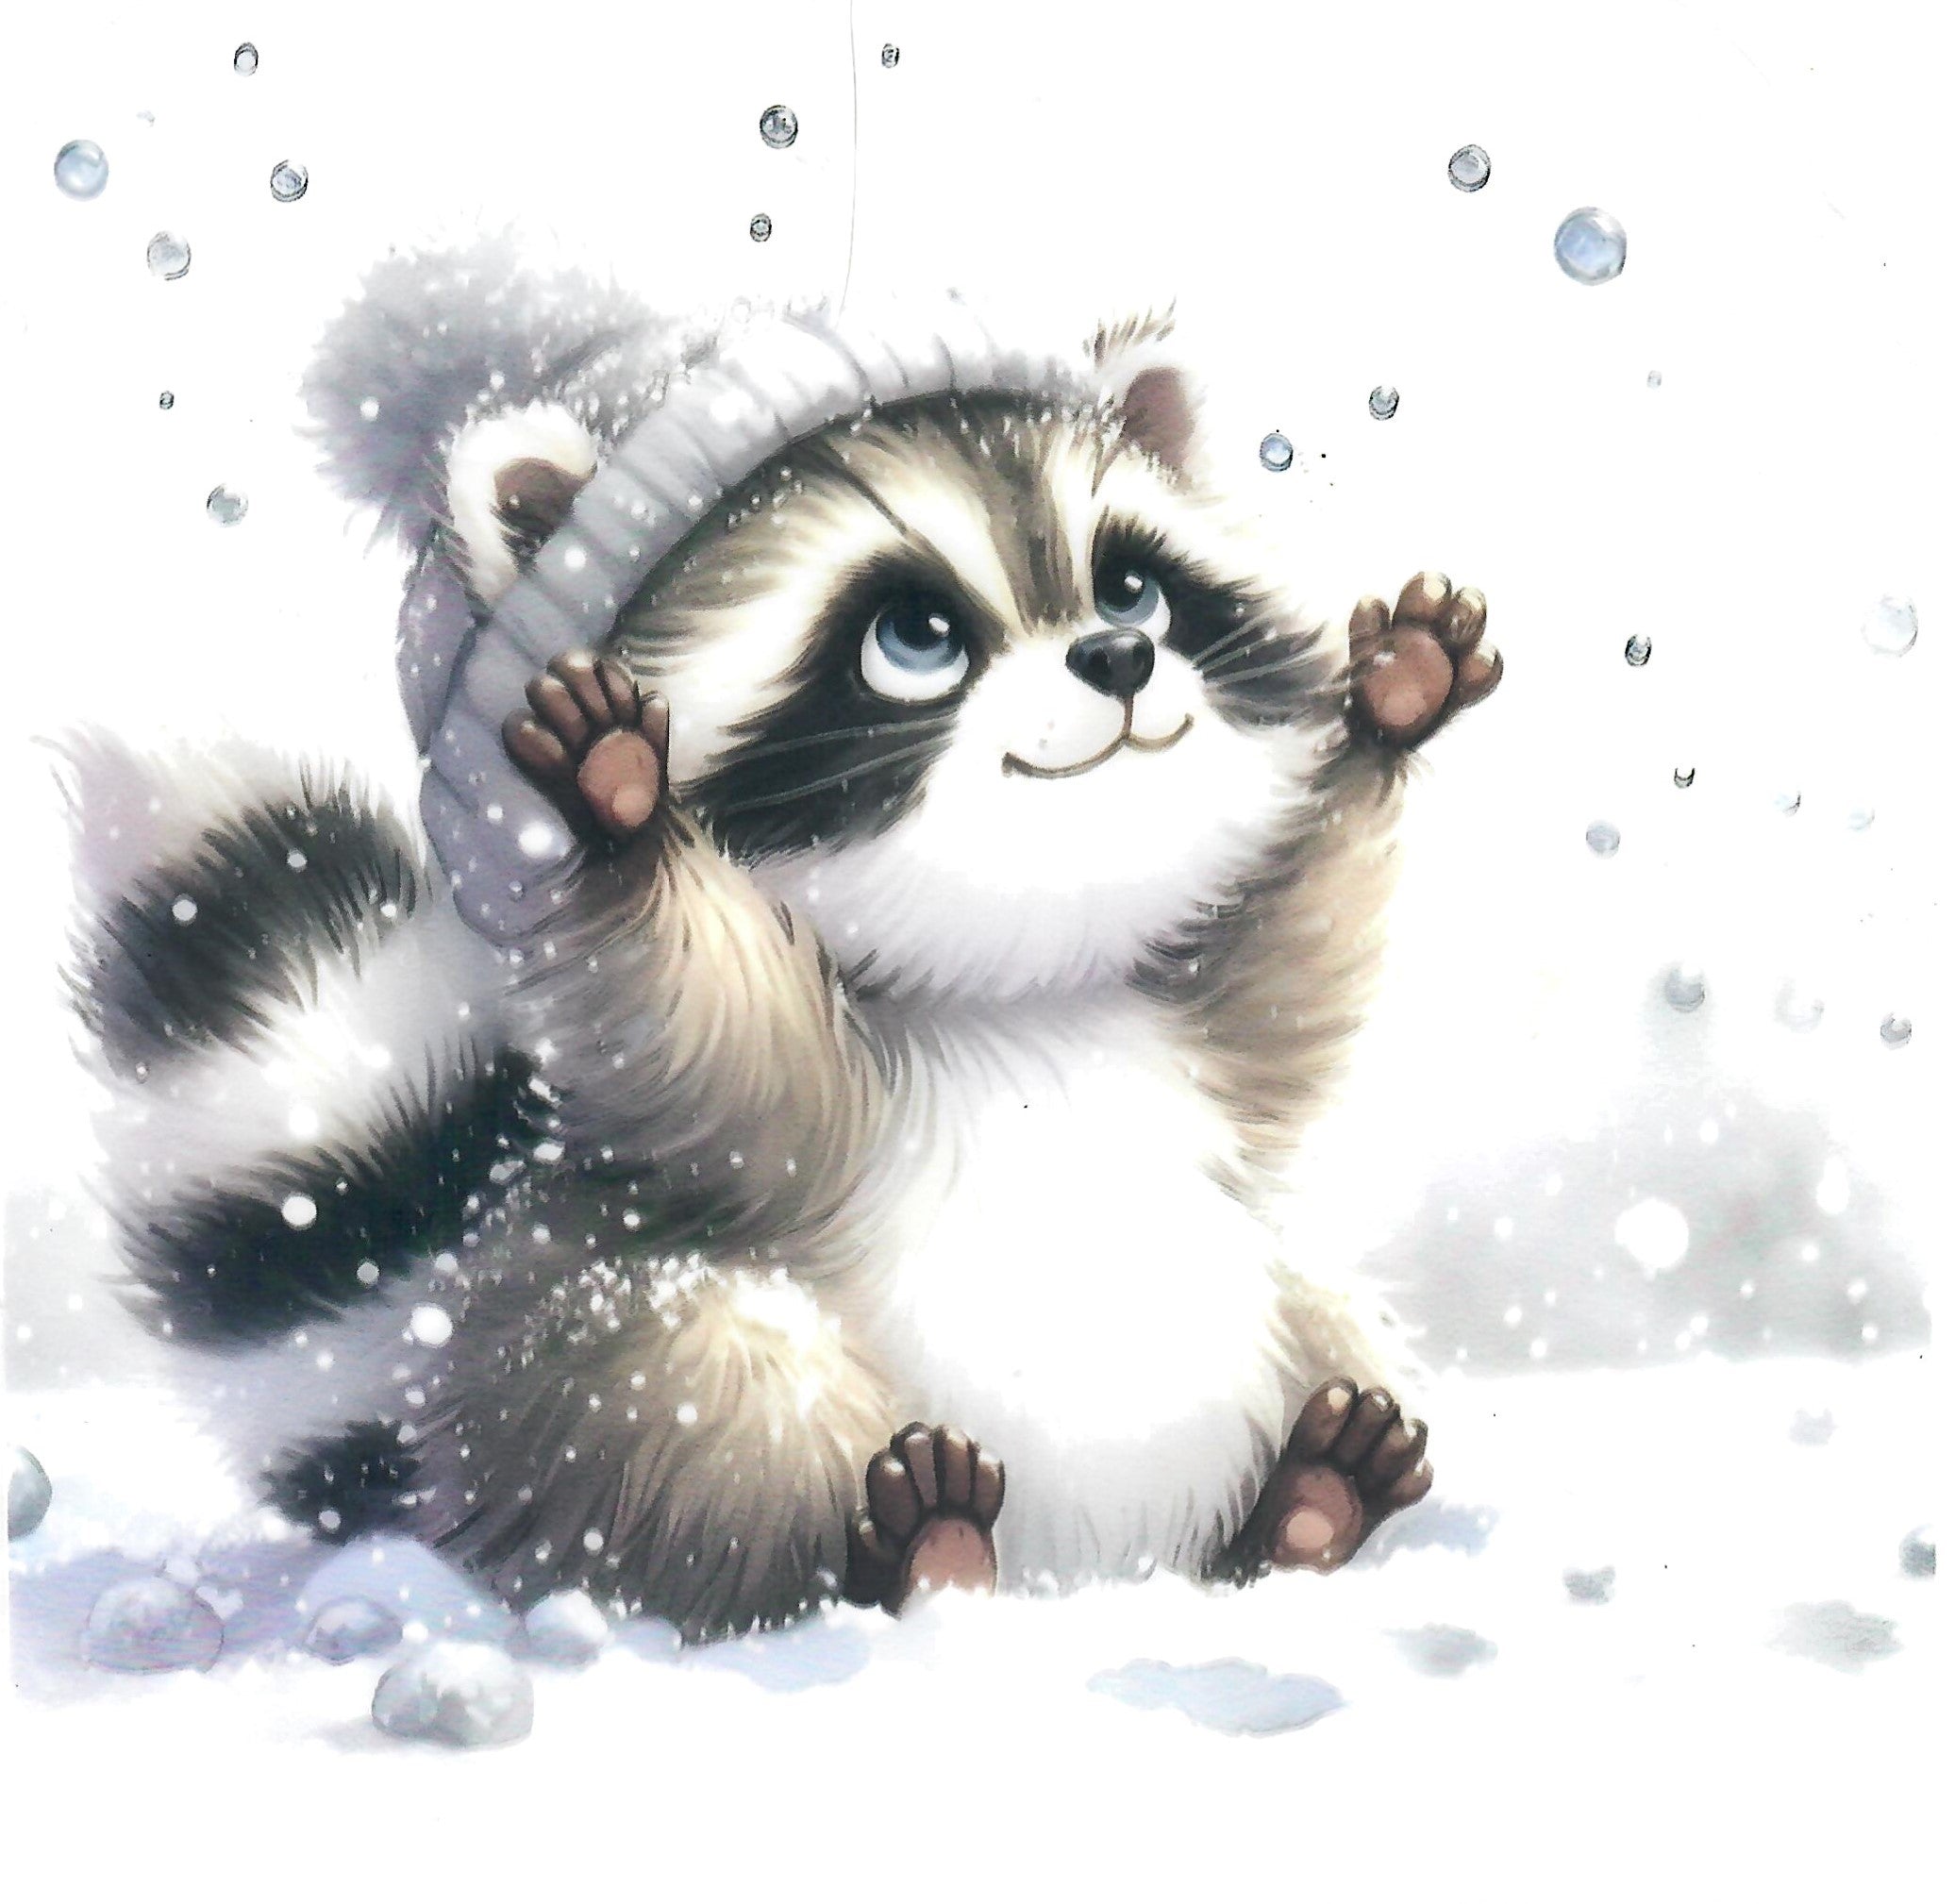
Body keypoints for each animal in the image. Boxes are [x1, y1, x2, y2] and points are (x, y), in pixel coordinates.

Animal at [63, 243, 1500, 1641]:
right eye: (915, 637)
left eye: (1132, 585)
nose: (1117, 658)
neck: (1018, 989)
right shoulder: (791, 1092)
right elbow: (697, 1021)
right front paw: (623, 824)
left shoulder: (1189, 1034)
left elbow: (1287, 967)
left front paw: (1385, 708)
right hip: (600, 1398)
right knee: (715, 1374)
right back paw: (901, 1553)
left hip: (1273, 1308)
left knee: (1323, 1315)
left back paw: (1301, 1508)